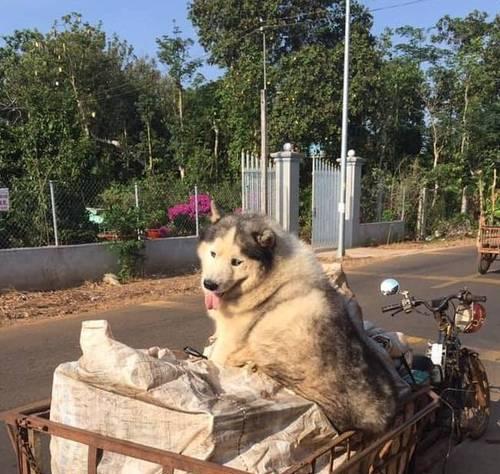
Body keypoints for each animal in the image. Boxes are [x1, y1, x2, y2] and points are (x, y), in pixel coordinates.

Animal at [197, 206, 396, 436]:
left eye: (236, 262)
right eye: (213, 254)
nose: (209, 284)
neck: (269, 279)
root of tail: (378, 419)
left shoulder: (227, 344)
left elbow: (214, 357)